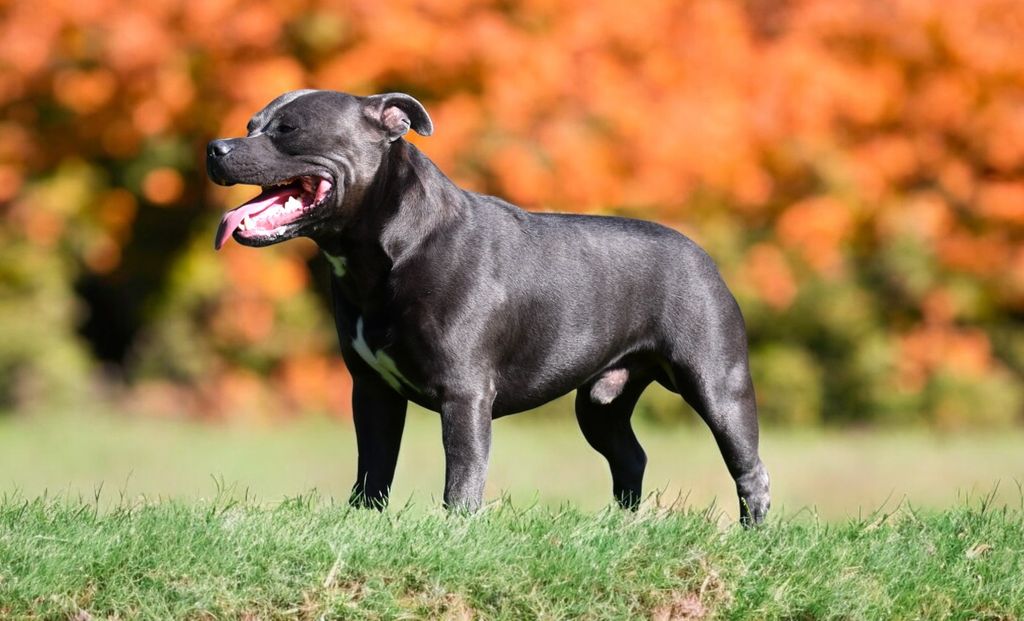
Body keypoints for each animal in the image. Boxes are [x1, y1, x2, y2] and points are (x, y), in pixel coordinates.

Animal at [205, 87, 770, 524]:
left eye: (289, 129)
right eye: (251, 124)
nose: (215, 147)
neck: (383, 252)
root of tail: (703, 255)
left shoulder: (464, 394)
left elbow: (462, 475)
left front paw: (456, 529)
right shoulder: (371, 389)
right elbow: (374, 466)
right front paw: (363, 520)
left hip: (717, 385)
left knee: (749, 468)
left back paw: (753, 535)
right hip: (600, 405)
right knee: (629, 456)